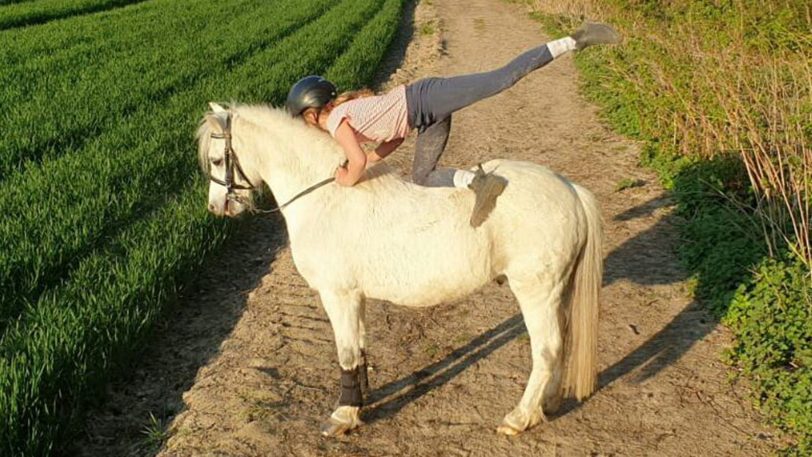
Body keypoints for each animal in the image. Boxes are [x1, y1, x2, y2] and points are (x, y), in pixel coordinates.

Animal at [197, 102, 604, 434]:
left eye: (216, 160)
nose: (217, 207)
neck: (327, 196)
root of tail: (570, 189)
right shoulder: (355, 296)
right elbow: (360, 349)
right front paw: (360, 405)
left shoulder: (337, 294)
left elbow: (346, 353)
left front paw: (343, 416)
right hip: (558, 290)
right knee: (561, 342)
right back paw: (545, 406)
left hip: (536, 291)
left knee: (547, 349)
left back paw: (519, 418)